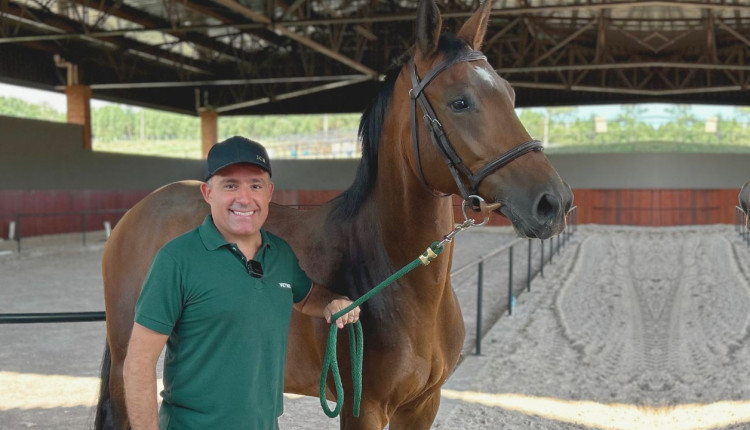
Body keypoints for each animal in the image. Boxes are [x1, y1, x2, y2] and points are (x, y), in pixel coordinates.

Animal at [97, 1, 572, 428]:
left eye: (511, 95)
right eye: (459, 102)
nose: (554, 202)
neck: (398, 277)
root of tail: (137, 214)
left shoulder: (423, 406)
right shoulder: (363, 410)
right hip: (127, 360)